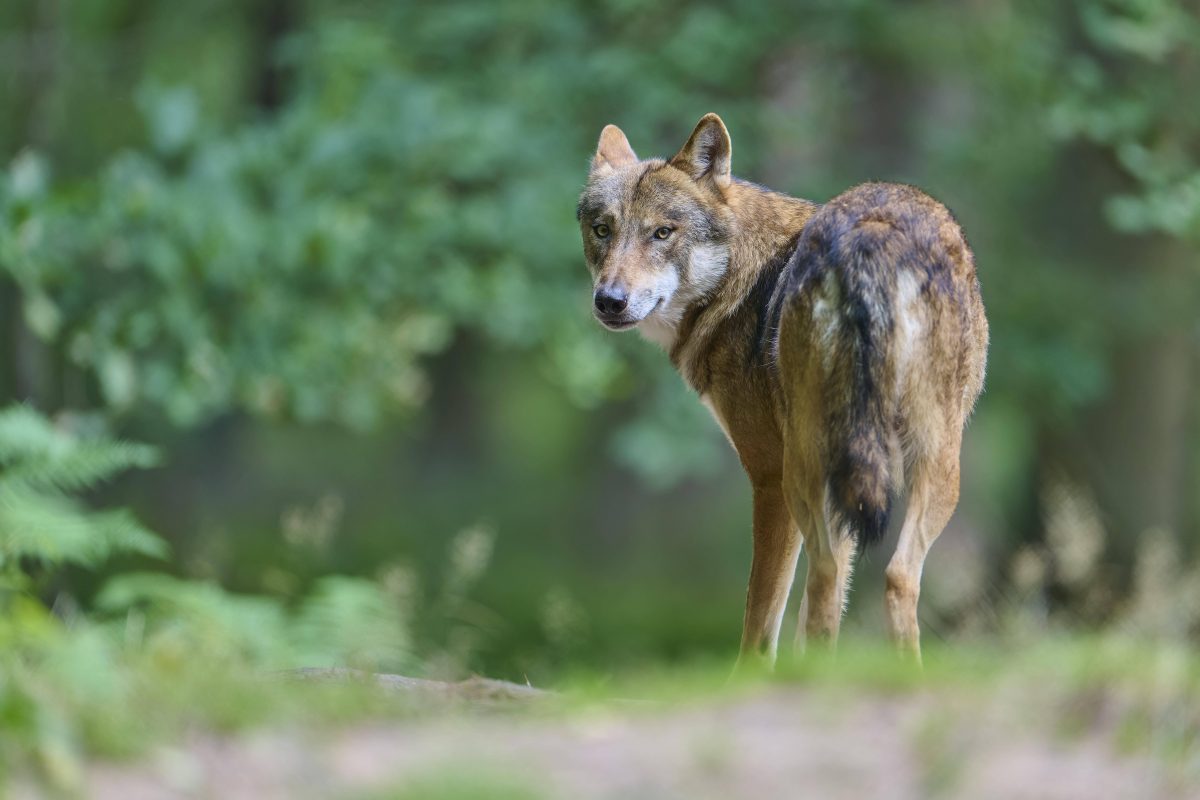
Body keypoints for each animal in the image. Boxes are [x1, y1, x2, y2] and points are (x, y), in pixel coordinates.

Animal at [578, 112, 984, 662]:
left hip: (806, 471)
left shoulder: (768, 477)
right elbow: (817, 613)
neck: (737, 280)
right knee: (889, 577)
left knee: (829, 573)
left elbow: (760, 618)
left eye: (662, 233)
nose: (610, 301)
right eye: (603, 230)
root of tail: (874, 232)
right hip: (931, 460)